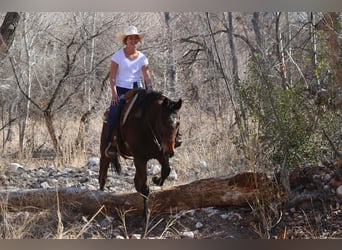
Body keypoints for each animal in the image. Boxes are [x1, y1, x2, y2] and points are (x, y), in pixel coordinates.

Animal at [98, 89, 182, 219]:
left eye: (178, 123)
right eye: (163, 122)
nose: (170, 151)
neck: (147, 125)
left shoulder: (161, 154)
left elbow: (166, 171)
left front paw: (156, 179)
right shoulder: (140, 158)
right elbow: (144, 187)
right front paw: (146, 215)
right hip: (105, 151)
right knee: (103, 175)